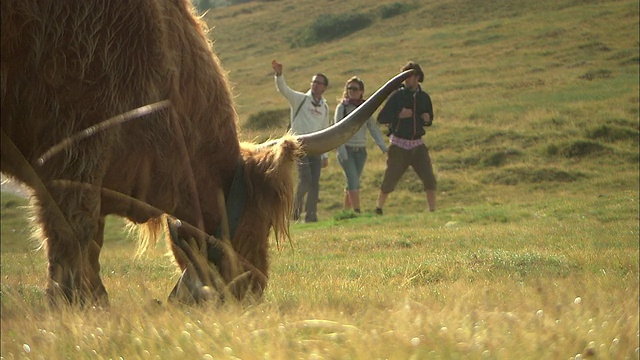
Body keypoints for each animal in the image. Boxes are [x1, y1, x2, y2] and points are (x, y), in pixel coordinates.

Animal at [0, 0, 416, 306]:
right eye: (263, 222)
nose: (255, 289)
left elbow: (90, 241)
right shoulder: (76, 146)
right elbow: (74, 232)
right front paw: (79, 303)